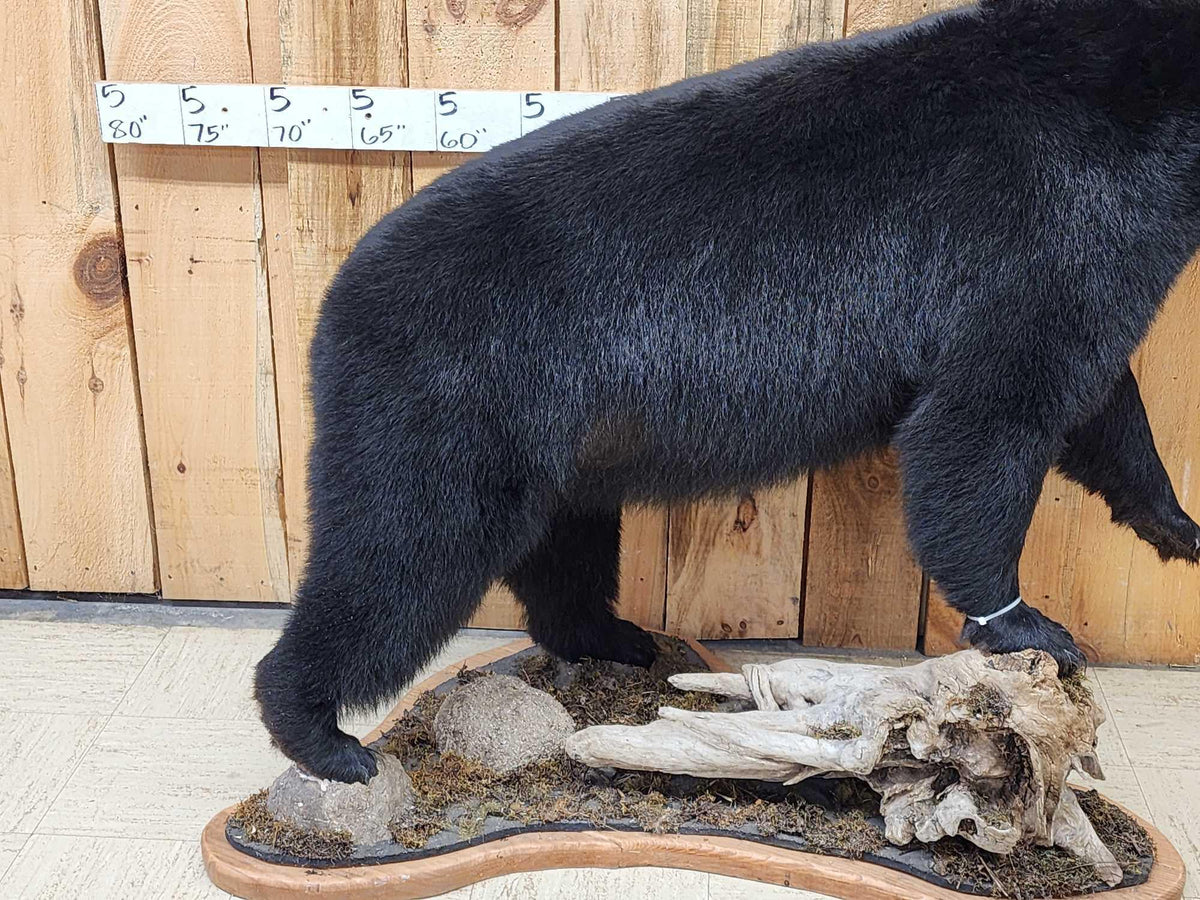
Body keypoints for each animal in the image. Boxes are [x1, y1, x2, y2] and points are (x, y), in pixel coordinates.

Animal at [256, 0, 1200, 783]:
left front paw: (1175, 525)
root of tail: (331, 309)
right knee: (401, 552)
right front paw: (1025, 623)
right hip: (446, 402)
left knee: (560, 548)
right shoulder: (1047, 226)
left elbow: (1102, 404)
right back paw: (320, 735)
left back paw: (613, 637)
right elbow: (984, 420)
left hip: (554, 441)